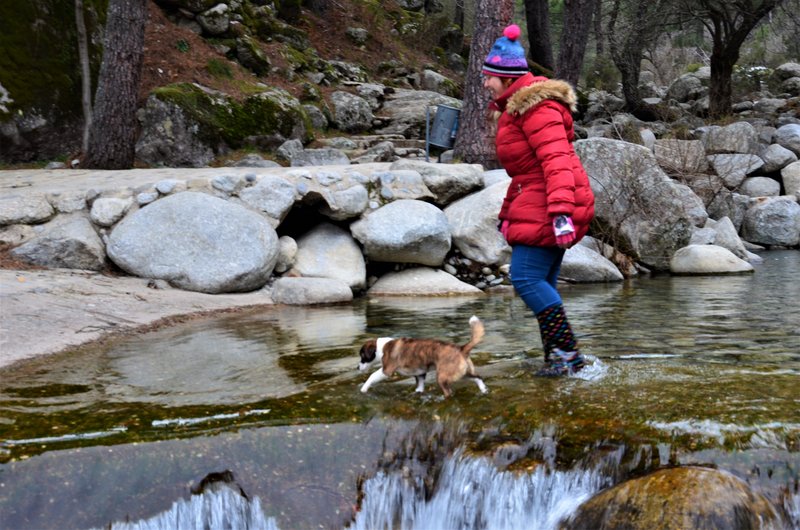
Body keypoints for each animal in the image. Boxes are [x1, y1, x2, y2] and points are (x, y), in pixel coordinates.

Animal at [360, 314, 488, 396]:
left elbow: (371, 376)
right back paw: (483, 390)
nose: (357, 367)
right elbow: (420, 387)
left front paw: (363, 389)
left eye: (362, 356)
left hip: (442, 377)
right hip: (462, 373)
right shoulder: (420, 374)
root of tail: (461, 348)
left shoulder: (386, 371)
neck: (381, 347)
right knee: (478, 377)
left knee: (449, 392)